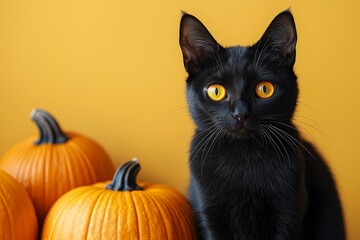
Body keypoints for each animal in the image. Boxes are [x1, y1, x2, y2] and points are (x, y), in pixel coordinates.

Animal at [180, 9, 346, 240]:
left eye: (264, 89)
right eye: (216, 91)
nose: (240, 114)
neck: (243, 160)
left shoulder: (288, 216)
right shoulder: (210, 218)